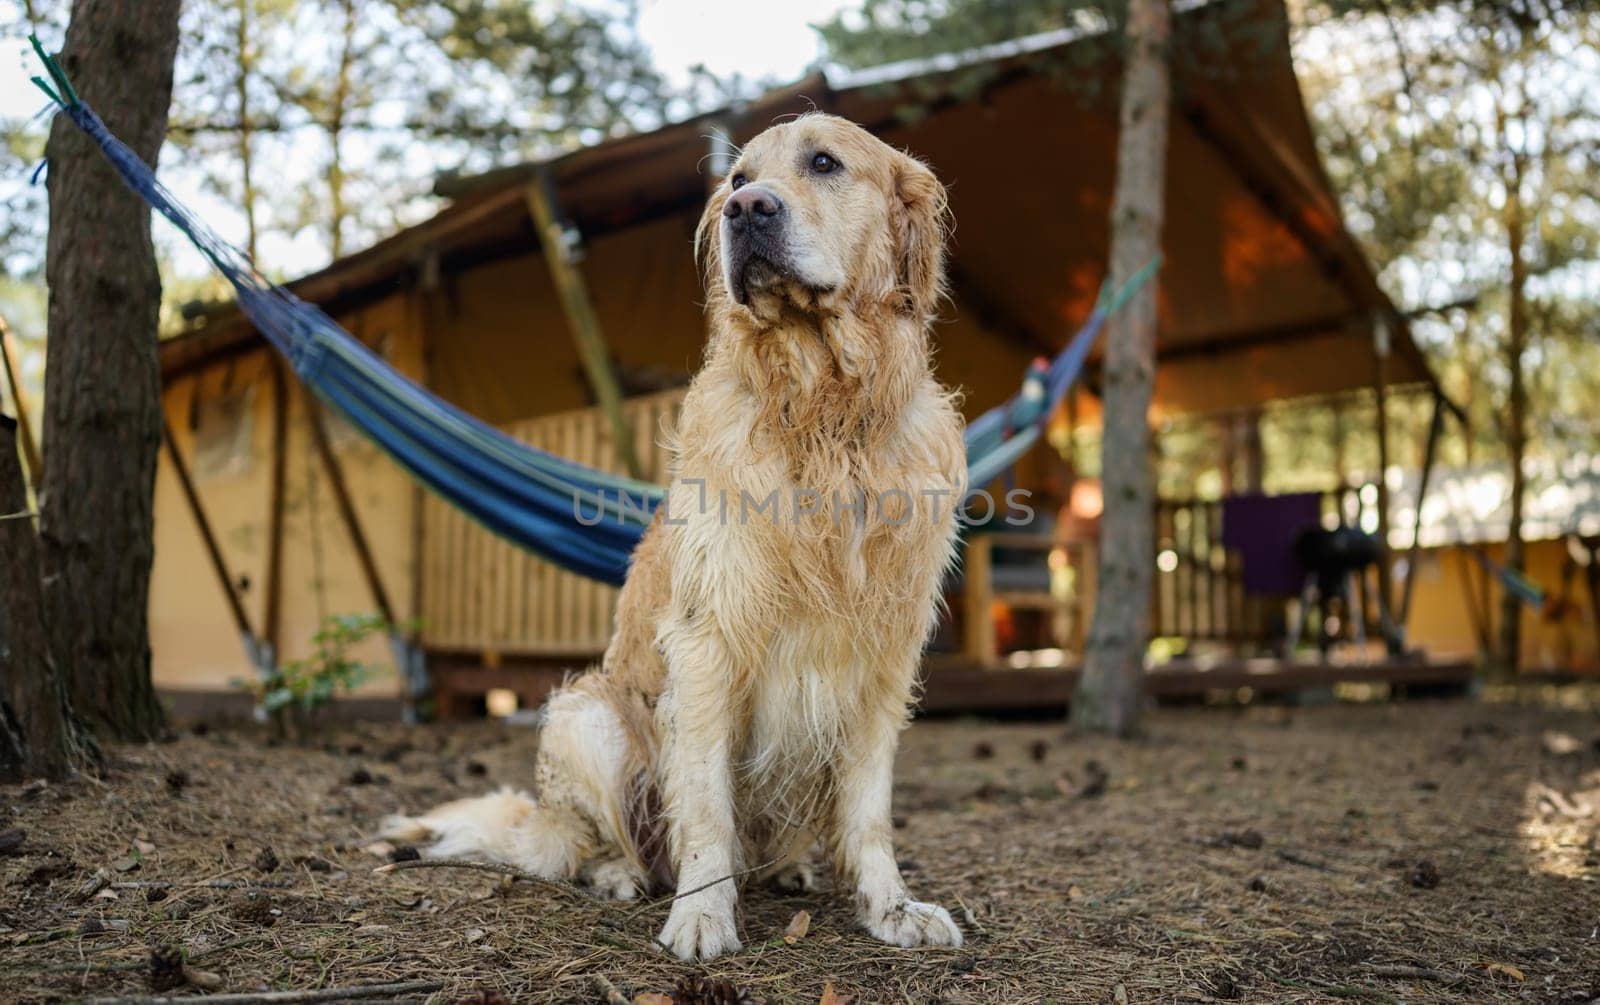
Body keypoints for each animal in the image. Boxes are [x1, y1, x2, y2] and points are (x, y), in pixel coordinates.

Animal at [380, 112, 966, 960]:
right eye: (737, 178)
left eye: (824, 163)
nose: (747, 209)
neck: (823, 411)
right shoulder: (707, 641)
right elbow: (707, 804)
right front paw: (701, 914)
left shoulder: (885, 653)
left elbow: (869, 809)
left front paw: (890, 906)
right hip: (585, 715)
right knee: (600, 841)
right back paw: (624, 875)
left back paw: (789, 870)